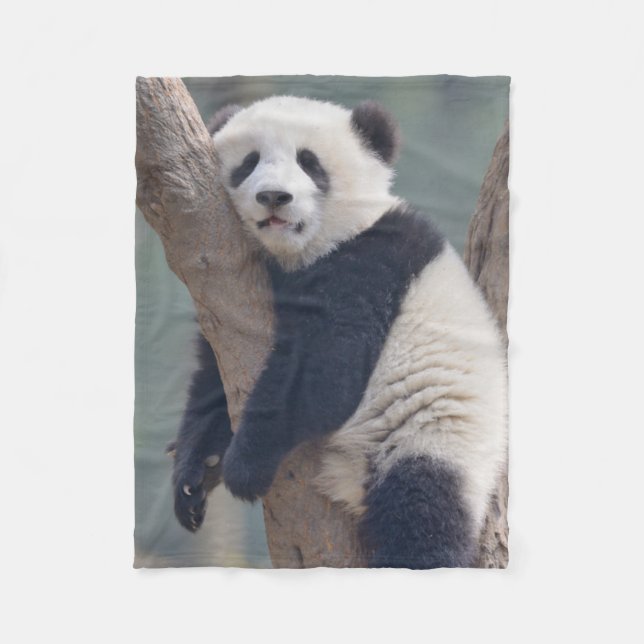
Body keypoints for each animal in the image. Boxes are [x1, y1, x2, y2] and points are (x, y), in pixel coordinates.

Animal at [169, 95, 507, 569]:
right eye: (249, 162)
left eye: (310, 163)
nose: (274, 197)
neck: (302, 253)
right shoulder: (230, 294)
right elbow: (214, 376)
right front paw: (195, 474)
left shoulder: (373, 262)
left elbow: (327, 374)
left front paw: (243, 465)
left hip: (435, 437)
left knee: (421, 515)